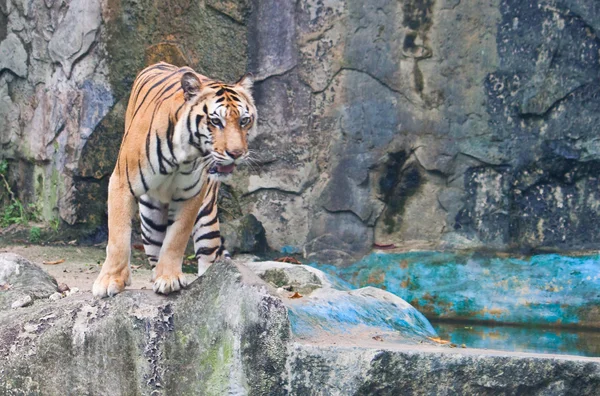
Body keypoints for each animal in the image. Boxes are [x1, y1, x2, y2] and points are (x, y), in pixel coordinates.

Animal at [92, 62, 256, 296]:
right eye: (216, 121)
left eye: (244, 121)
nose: (236, 153)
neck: (183, 157)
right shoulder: (122, 182)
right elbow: (118, 237)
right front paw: (109, 281)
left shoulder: (193, 195)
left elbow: (176, 238)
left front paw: (169, 278)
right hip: (150, 220)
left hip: (207, 216)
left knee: (208, 255)